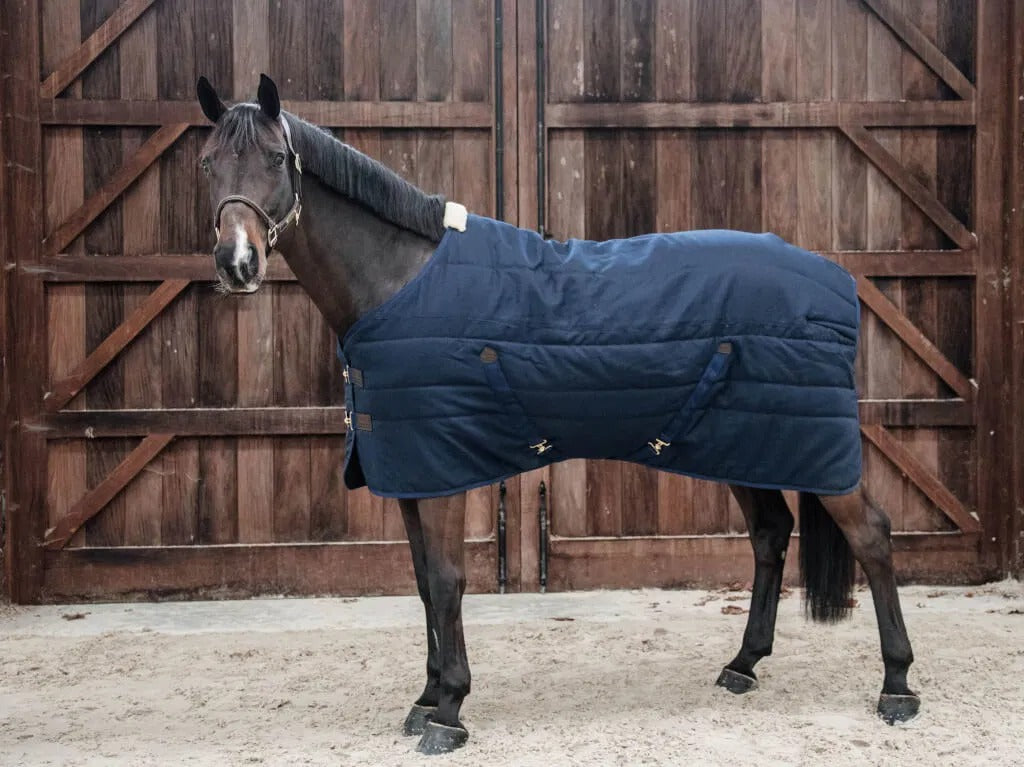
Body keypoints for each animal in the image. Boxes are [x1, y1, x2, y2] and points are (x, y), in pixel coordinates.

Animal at [195, 74, 919, 755]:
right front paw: (425, 699)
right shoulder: (409, 473)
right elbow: (424, 585)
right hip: (748, 443)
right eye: (207, 163)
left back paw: (897, 686)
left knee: (872, 536)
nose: (237, 262)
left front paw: (449, 710)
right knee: (770, 534)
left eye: (275, 158)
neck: (400, 283)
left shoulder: (443, 472)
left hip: (811, 451)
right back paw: (743, 664)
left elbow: (449, 581)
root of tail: (835, 279)